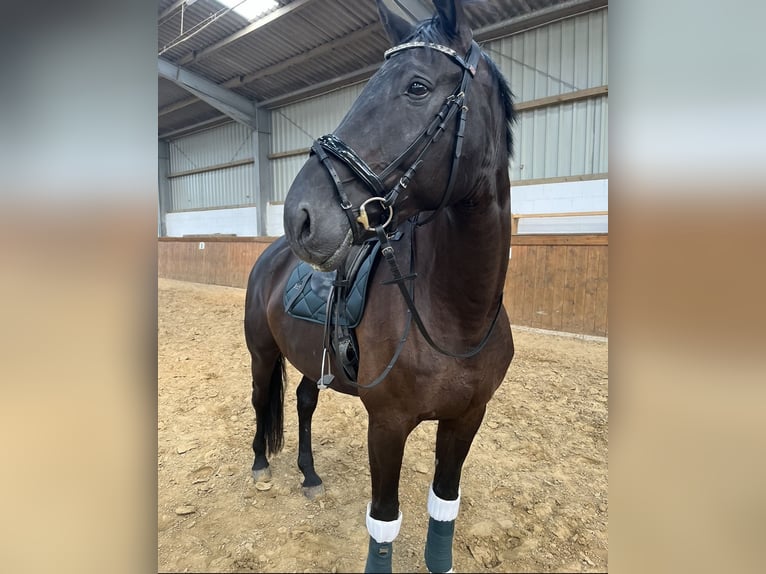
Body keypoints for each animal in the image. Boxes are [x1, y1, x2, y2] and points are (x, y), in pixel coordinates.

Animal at [246, 2, 516, 572]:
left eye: (417, 86)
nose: (299, 215)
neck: (456, 317)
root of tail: (272, 255)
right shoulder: (388, 424)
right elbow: (385, 521)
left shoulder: (466, 420)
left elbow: (444, 506)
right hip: (261, 353)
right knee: (262, 401)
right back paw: (260, 467)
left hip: (313, 360)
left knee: (303, 402)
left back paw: (309, 475)